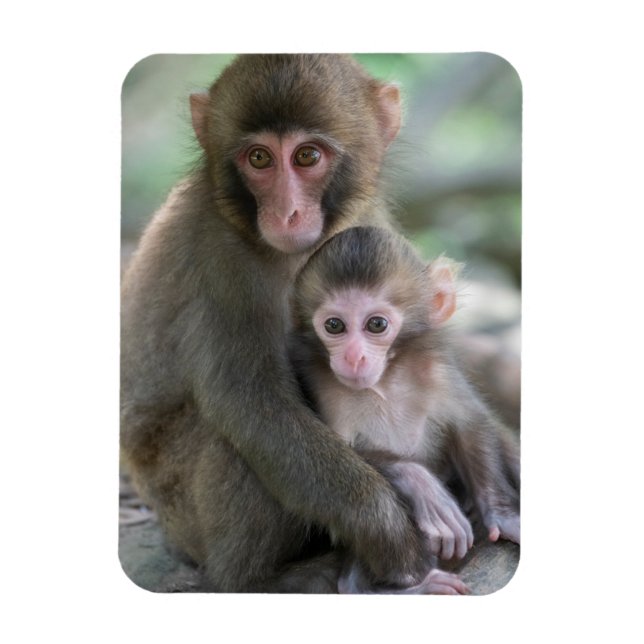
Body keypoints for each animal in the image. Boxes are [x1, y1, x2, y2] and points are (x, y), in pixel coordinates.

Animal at [121, 54, 450, 592]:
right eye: (259, 159)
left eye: (307, 156)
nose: (287, 212)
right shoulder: (221, 259)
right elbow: (252, 403)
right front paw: (393, 541)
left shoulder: (367, 222)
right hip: (183, 512)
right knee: (235, 438)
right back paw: (261, 580)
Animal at [290, 225, 520, 593]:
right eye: (334, 326)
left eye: (376, 325)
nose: (354, 357)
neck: (385, 382)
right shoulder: (320, 383)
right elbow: (329, 454)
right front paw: (422, 486)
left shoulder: (437, 370)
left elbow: (471, 425)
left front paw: (504, 515)